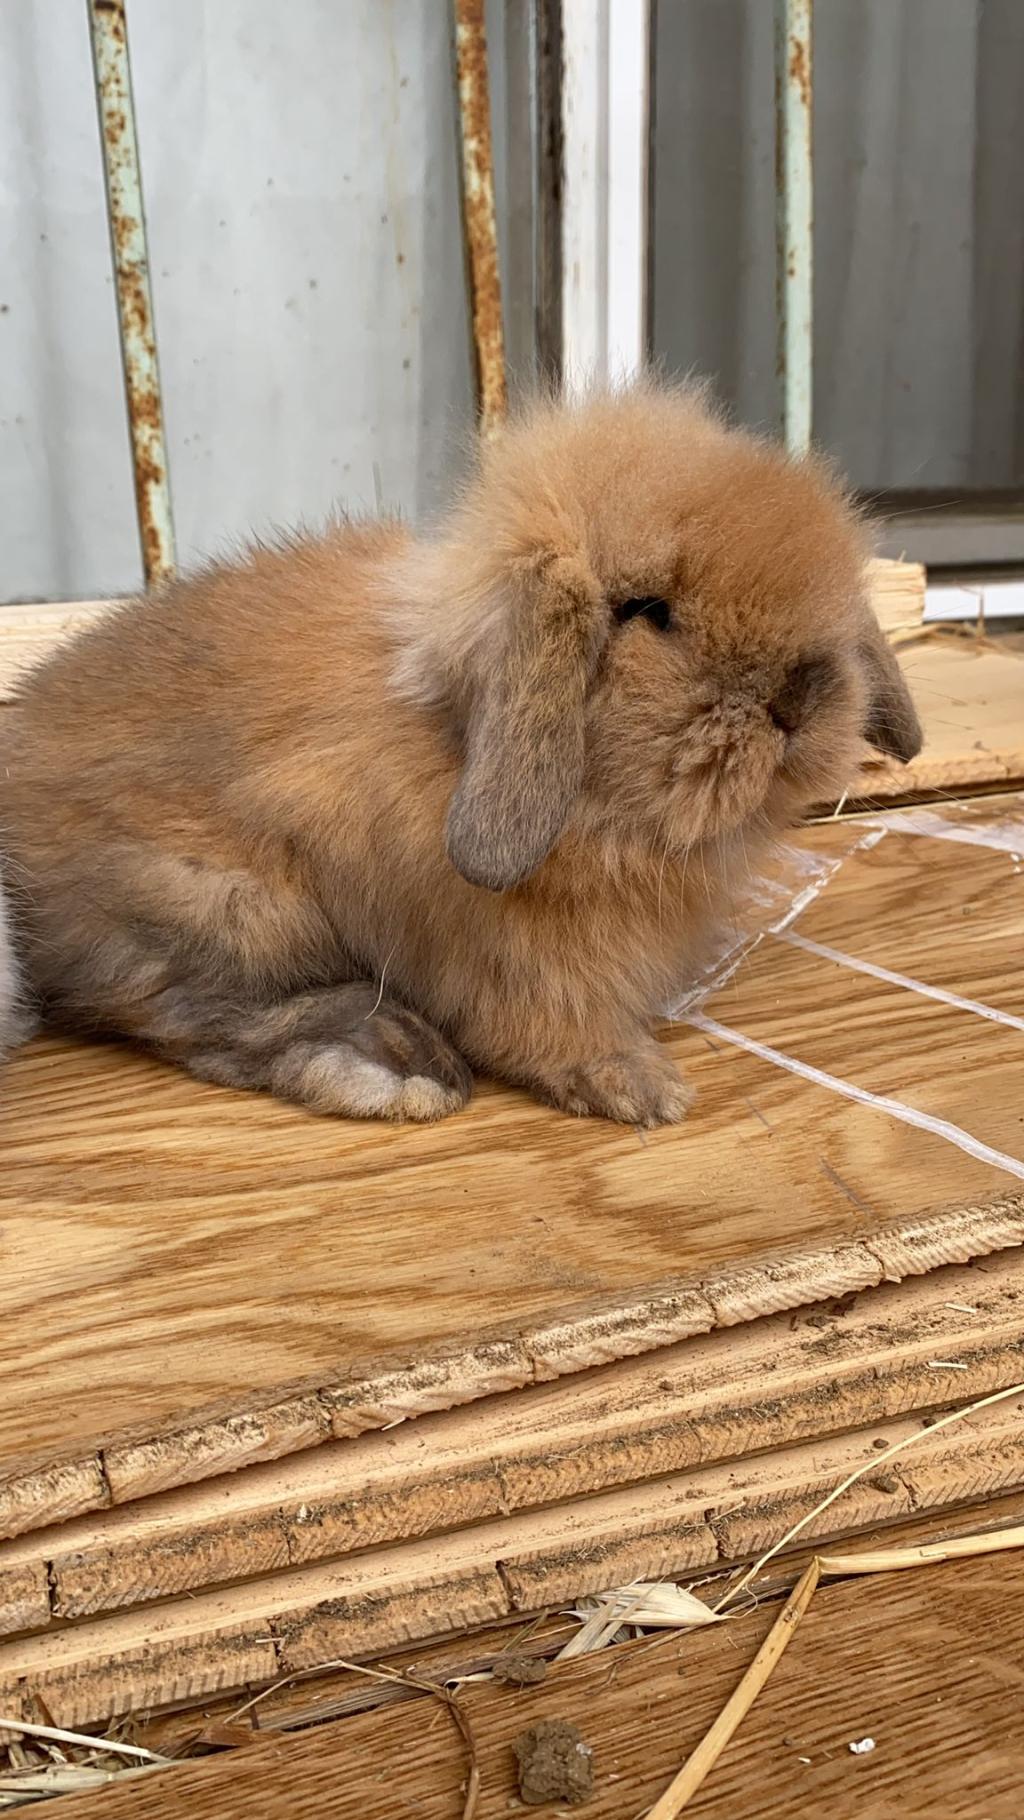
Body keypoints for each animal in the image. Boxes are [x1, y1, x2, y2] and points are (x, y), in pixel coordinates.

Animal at [0, 381, 920, 1126]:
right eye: (646, 610)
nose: (799, 698)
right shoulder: (506, 961)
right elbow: (549, 1027)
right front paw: (642, 1089)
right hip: (222, 907)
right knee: (195, 1015)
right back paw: (396, 1065)